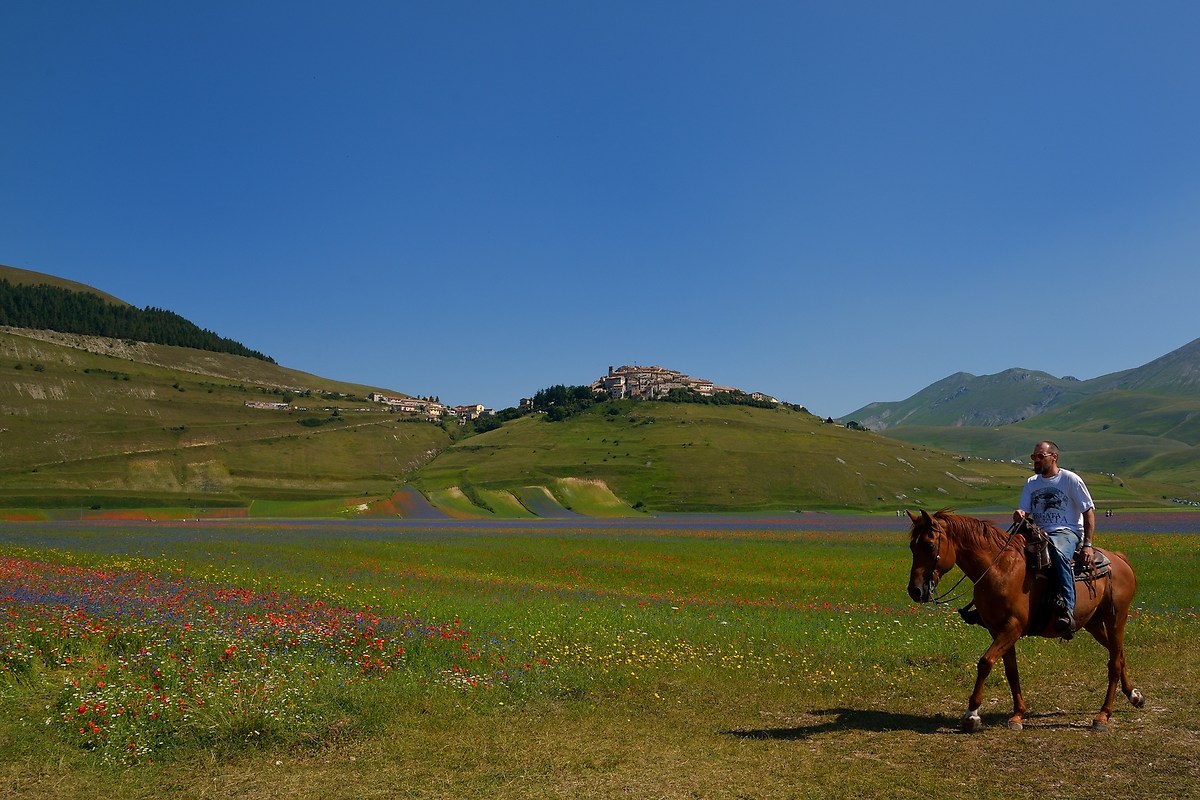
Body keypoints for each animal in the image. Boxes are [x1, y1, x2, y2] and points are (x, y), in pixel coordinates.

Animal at [906, 509, 1145, 732]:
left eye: (929, 545)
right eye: (911, 547)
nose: (915, 591)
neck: (1000, 568)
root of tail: (1118, 559)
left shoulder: (1012, 627)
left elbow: (985, 663)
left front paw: (972, 715)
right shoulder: (997, 630)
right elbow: (1011, 671)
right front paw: (1017, 714)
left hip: (1115, 617)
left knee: (1114, 662)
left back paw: (1103, 715)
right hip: (1092, 623)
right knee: (1118, 653)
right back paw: (1134, 696)